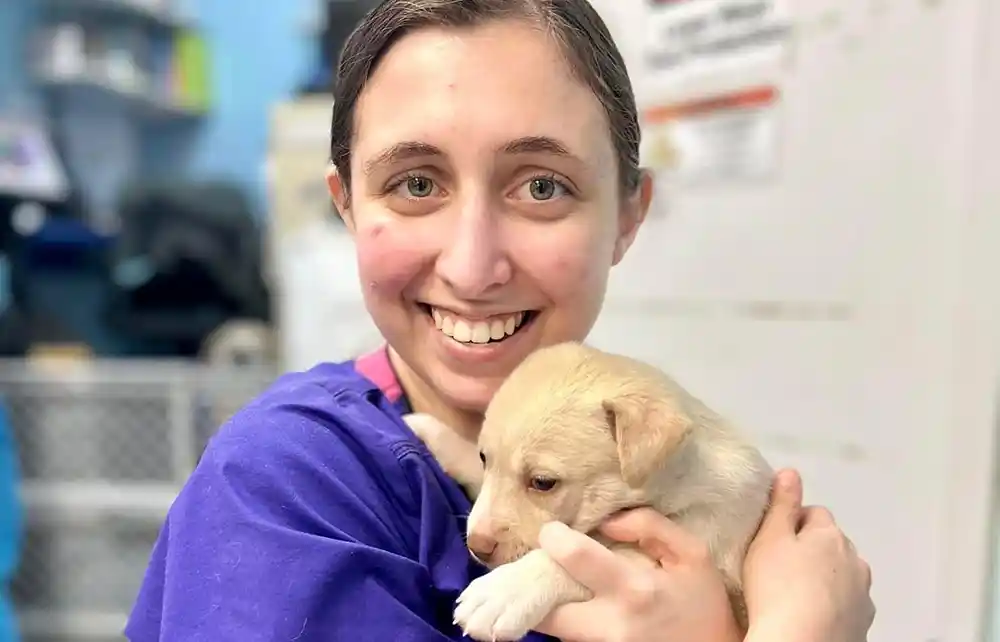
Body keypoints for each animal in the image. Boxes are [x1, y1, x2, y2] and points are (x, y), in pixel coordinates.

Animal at [406, 342, 772, 636]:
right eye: (485, 458)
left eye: (543, 482)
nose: (477, 546)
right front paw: (428, 429)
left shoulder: (695, 540)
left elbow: (582, 553)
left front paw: (504, 592)